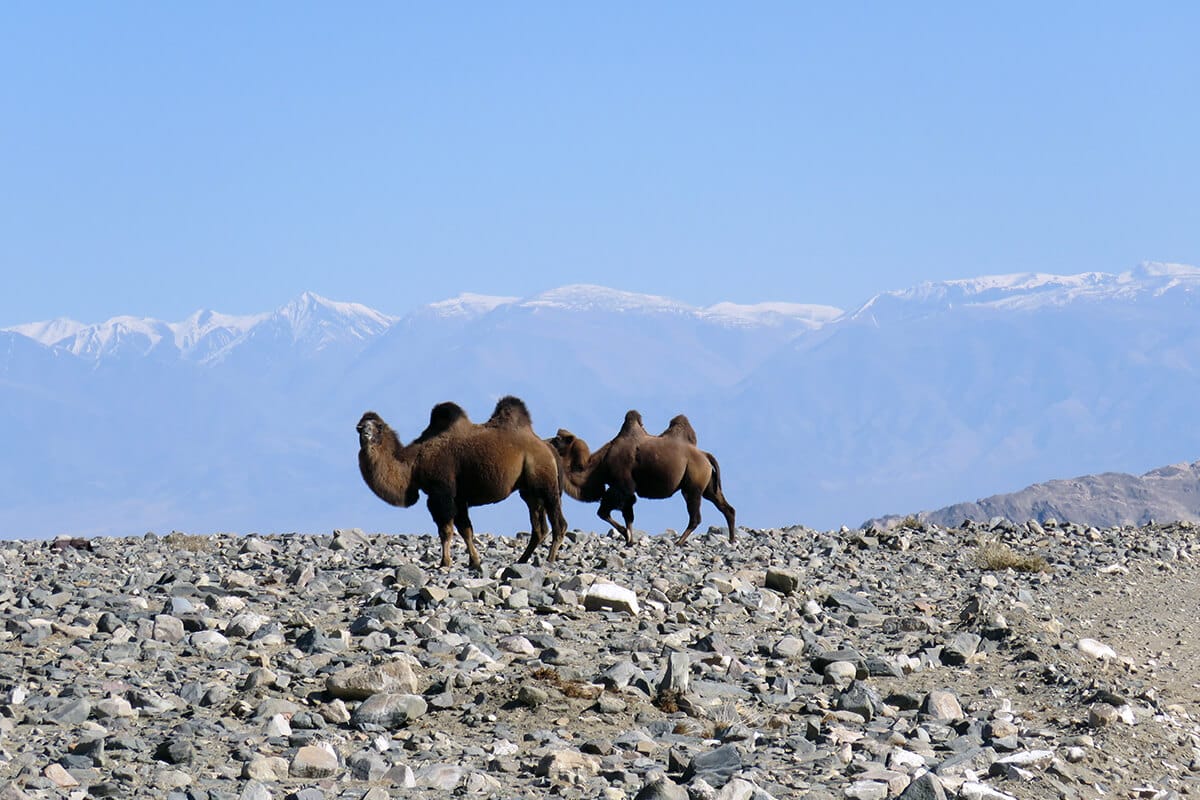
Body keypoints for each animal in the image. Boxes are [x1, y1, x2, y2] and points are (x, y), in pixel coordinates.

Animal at [357, 396, 568, 570]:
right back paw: (522, 560)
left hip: (546, 483)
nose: (365, 434)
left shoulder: (440, 493)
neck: (414, 463)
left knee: (559, 523)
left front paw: (445, 562)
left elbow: (446, 530)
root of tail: (547, 447)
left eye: (377, 427)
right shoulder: (459, 497)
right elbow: (466, 530)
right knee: (539, 527)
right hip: (529, 491)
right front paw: (474, 562)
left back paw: (549, 559)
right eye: (359, 427)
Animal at [547, 410, 737, 546]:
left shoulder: (622, 487)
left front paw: (626, 535)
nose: (545, 441)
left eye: (557, 439)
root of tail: (705, 456)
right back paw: (732, 539)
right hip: (708, 485)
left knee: (695, 516)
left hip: (693, 485)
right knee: (726, 507)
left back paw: (679, 542)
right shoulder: (623, 490)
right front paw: (629, 540)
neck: (601, 463)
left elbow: (605, 512)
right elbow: (627, 514)